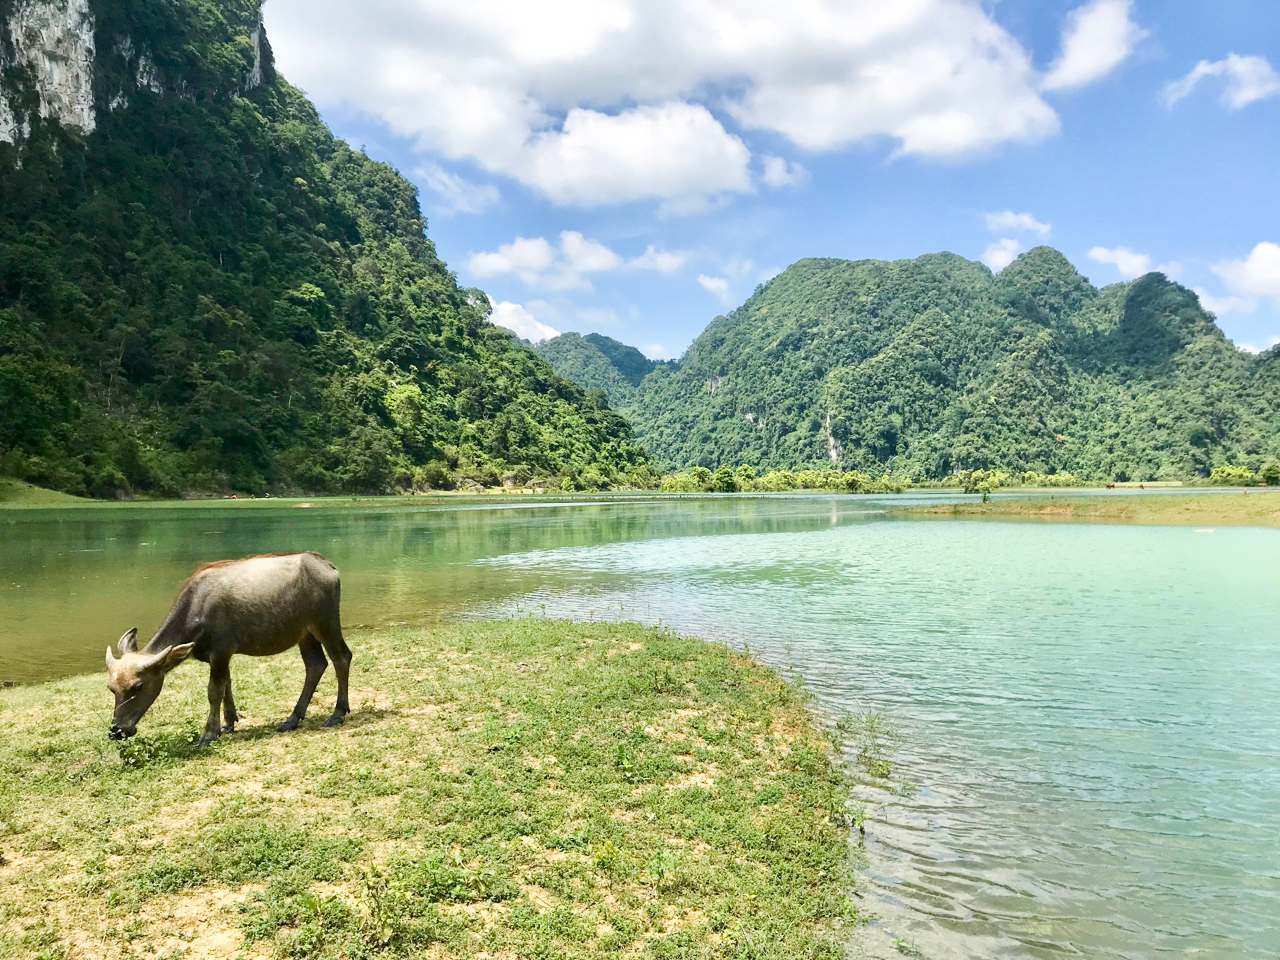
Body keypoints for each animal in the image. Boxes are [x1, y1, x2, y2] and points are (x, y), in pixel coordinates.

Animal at [103, 552, 350, 747]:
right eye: (111, 688)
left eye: (138, 686)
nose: (117, 730)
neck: (197, 610)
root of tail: (328, 566)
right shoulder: (222, 657)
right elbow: (226, 686)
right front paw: (228, 723)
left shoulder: (221, 651)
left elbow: (214, 691)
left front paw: (209, 733)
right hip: (304, 634)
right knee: (315, 665)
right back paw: (292, 719)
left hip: (325, 622)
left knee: (341, 657)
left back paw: (337, 713)